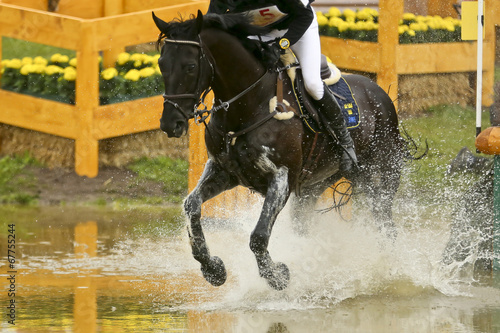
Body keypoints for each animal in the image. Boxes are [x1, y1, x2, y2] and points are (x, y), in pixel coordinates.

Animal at [153, 11, 410, 290]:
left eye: (190, 66)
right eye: (161, 64)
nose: (170, 124)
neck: (249, 106)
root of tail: (378, 92)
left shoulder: (280, 178)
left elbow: (258, 236)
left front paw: (277, 275)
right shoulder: (224, 172)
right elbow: (191, 206)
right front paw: (213, 269)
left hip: (378, 176)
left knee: (385, 224)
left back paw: (390, 271)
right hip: (314, 186)